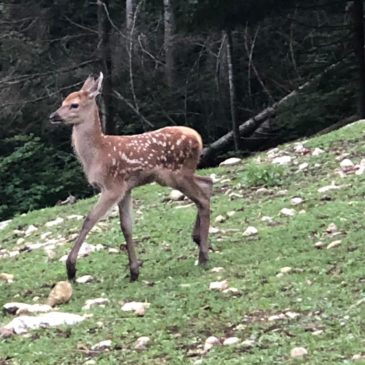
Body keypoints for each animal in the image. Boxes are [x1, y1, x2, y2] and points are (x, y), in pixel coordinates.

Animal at [48, 72, 213, 280]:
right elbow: (126, 226)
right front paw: (134, 271)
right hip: (182, 173)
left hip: (177, 173)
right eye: (63, 101)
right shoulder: (125, 188)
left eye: (74, 105)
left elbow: (89, 219)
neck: (97, 154)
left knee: (202, 199)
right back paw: (198, 240)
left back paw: (203, 256)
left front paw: (71, 268)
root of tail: (198, 137)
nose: (53, 116)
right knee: (207, 184)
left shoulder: (112, 186)